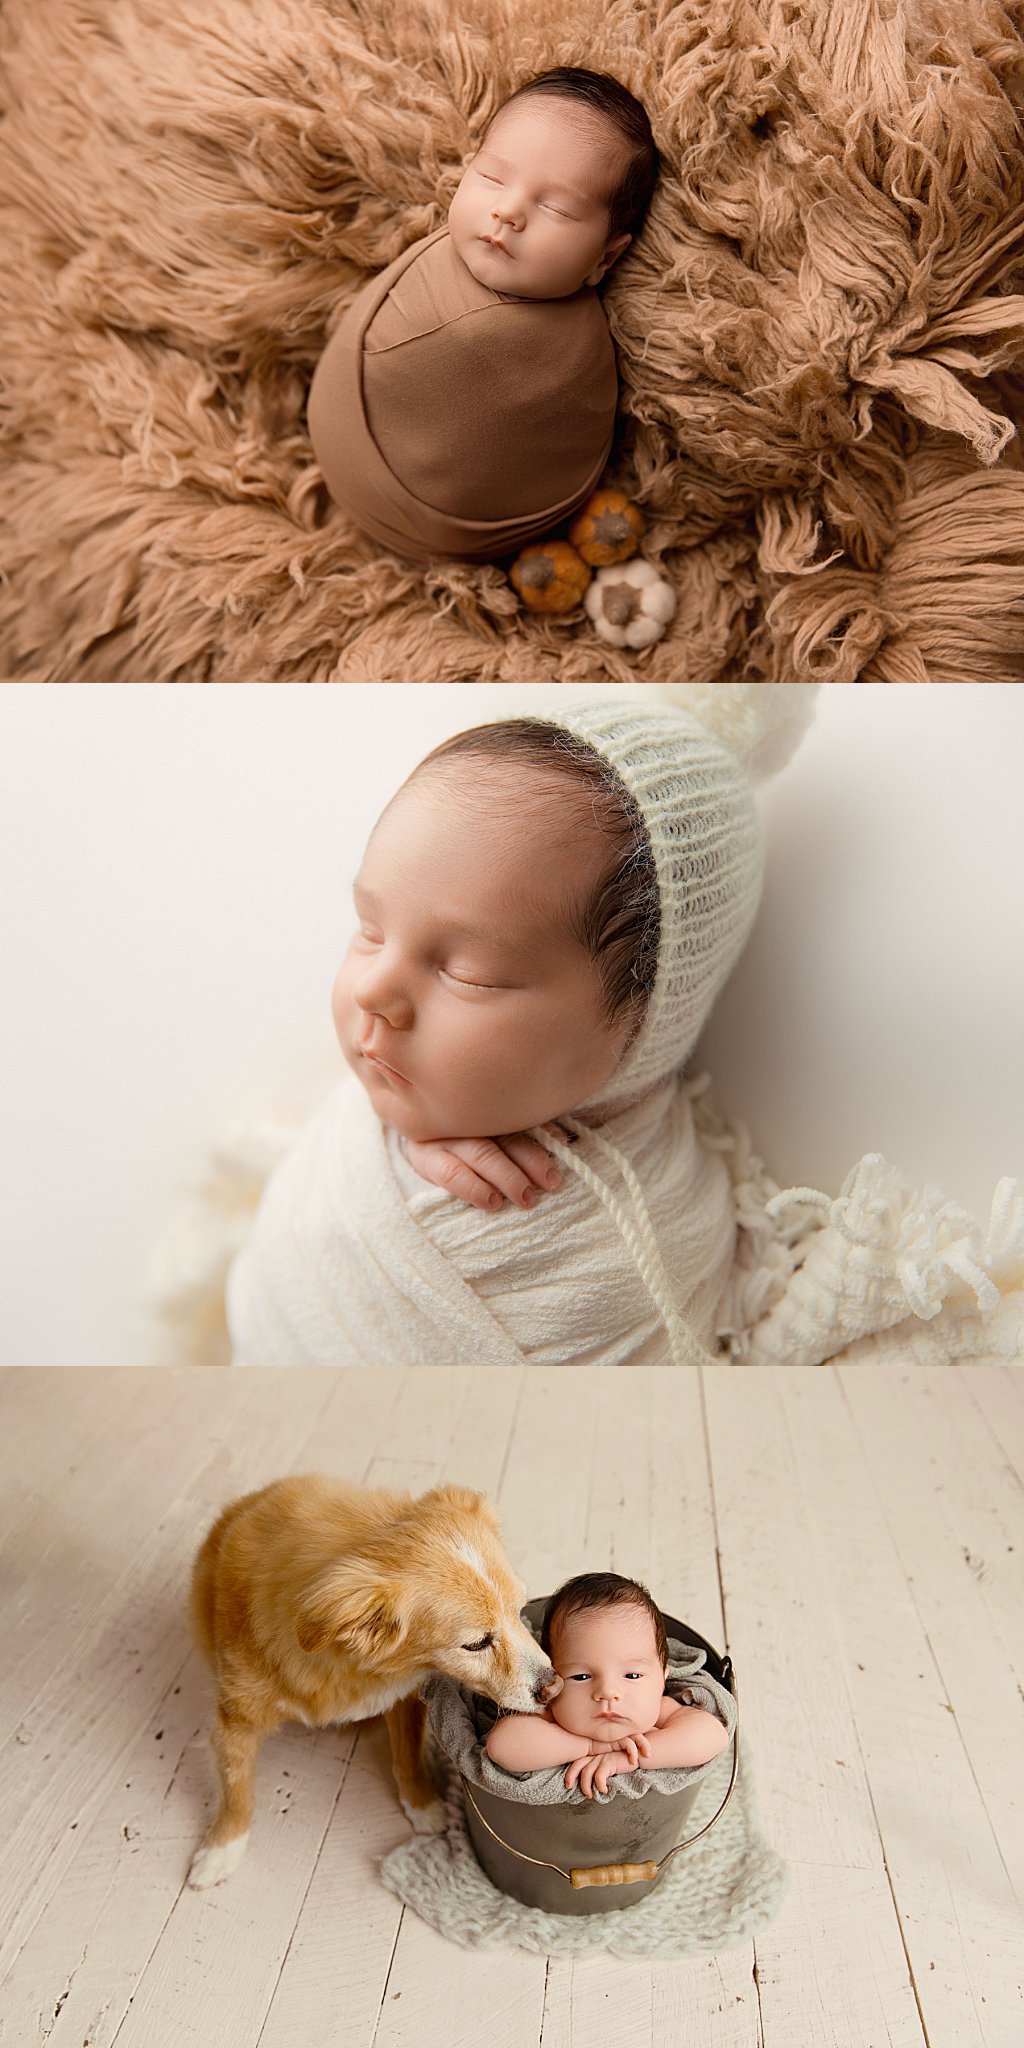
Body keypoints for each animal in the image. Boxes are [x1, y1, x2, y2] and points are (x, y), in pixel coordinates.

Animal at [188, 1474, 557, 1884]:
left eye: (519, 1611)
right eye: (476, 1644)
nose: (553, 1686)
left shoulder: (404, 1699)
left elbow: (408, 1757)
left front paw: (423, 1805)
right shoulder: (235, 1720)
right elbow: (236, 1790)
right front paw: (222, 1848)